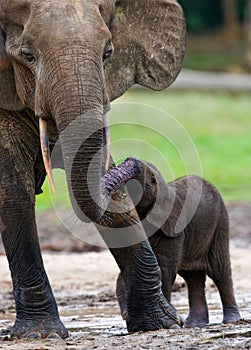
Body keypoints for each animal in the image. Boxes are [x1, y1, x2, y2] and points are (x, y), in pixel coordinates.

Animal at [0, 0, 185, 340]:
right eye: (27, 55)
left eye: (107, 53)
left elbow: (110, 193)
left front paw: (161, 323)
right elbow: (13, 192)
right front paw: (42, 334)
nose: (134, 163)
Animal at [104, 159, 241, 328]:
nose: (130, 160)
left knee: (219, 271)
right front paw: (126, 314)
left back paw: (231, 320)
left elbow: (164, 269)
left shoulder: (174, 229)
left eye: (152, 180)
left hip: (220, 223)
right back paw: (194, 324)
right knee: (192, 277)